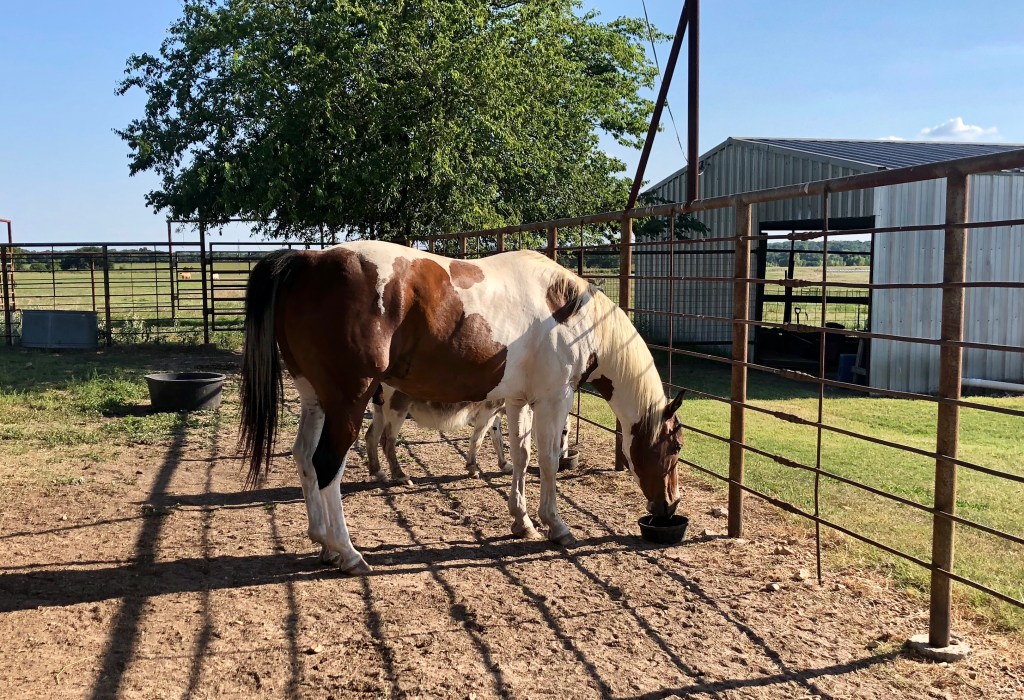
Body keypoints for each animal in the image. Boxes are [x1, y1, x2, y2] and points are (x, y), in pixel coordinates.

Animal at [365, 384, 508, 483]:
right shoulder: (489, 409)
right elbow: (478, 440)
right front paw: (472, 469)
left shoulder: (495, 411)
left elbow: (497, 438)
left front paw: (505, 465)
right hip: (397, 407)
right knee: (387, 441)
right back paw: (400, 476)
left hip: (380, 409)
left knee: (371, 436)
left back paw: (377, 472)